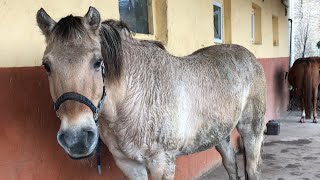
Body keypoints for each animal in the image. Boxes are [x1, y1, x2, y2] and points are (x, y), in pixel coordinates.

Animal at [37, 7, 268, 180]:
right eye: (46, 65)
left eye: (97, 62)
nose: (76, 139)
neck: (135, 99)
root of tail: (251, 57)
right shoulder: (129, 165)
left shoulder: (161, 163)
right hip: (220, 134)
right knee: (230, 164)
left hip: (251, 130)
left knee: (252, 168)